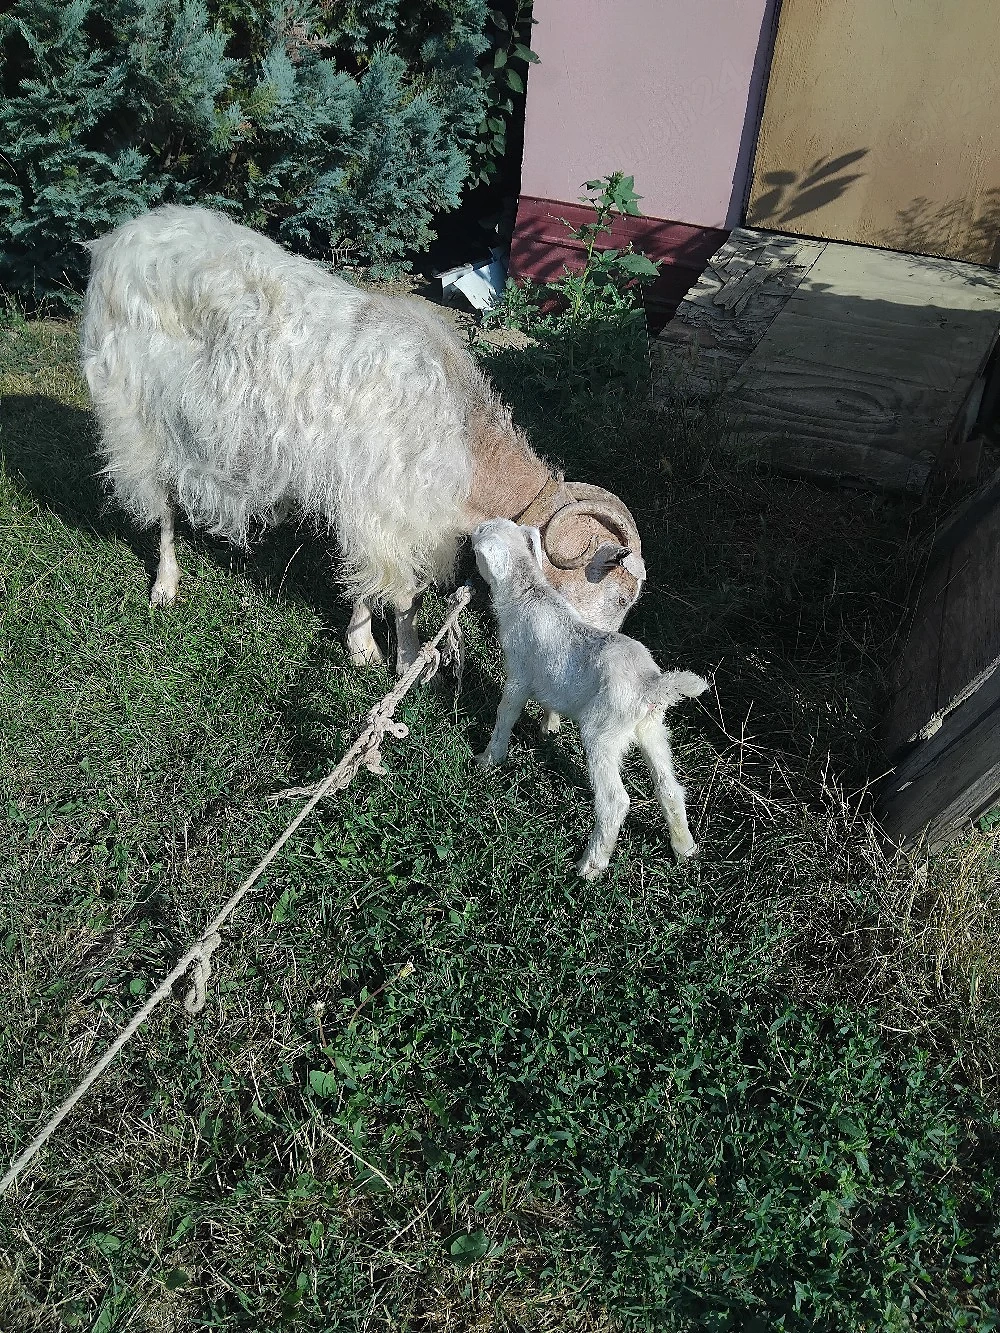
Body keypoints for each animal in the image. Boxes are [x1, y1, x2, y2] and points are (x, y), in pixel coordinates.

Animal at [79, 205, 646, 673]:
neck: (462, 435)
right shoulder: (387, 505)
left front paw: (361, 642)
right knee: (160, 501)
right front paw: (402, 657)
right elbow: (401, 593)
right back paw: (165, 584)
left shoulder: (381, 509)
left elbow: (374, 579)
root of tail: (118, 241)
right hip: (135, 415)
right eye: (618, 594)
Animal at [472, 519, 707, 878]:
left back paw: (591, 866)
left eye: (482, 534)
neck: (527, 592)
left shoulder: (519, 674)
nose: (470, 531)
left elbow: (505, 714)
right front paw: (549, 726)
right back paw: (685, 849)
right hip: (652, 728)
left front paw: (488, 759)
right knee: (669, 787)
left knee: (614, 801)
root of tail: (651, 685)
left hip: (603, 733)